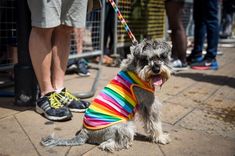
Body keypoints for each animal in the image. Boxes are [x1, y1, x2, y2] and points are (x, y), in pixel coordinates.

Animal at [41, 39, 172, 152]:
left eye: (161, 56)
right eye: (145, 59)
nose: (156, 69)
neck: (138, 71)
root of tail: (85, 131)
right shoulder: (149, 104)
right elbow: (154, 123)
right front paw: (161, 137)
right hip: (125, 125)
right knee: (113, 142)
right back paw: (114, 145)